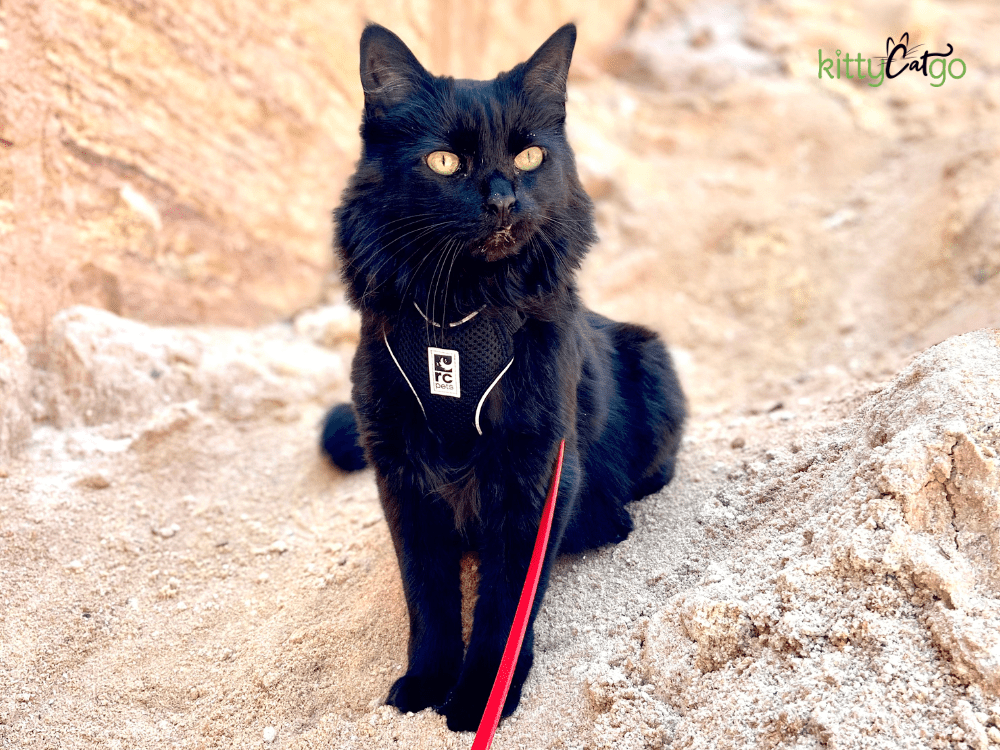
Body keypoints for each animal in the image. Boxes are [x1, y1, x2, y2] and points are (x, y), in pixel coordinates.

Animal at [324, 23, 684, 736]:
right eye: (444, 163)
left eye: (529, 156)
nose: (501, 199)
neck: (457, 319)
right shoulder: (403, 479)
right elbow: (429, 600)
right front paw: (427, 683)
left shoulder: (532, 475)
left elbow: (502, 607)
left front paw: (480, 699)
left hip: (653, 362)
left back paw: (608, 519)